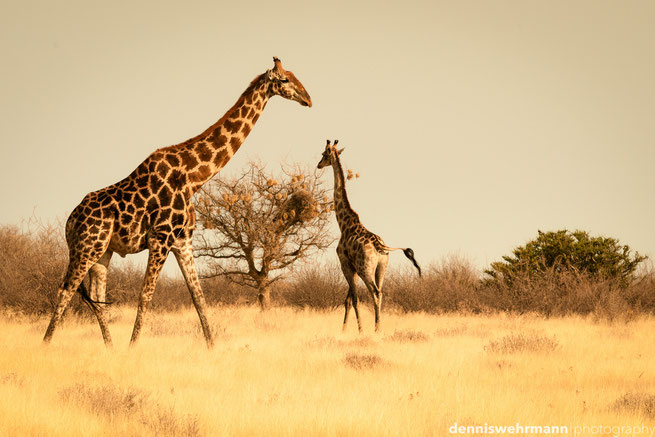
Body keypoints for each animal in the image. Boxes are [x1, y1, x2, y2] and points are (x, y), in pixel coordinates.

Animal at [42, 58, 312, 346]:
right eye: (284, 80)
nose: (308, 99)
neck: (193, 177)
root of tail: (69, 222)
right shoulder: (161, 237)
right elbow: (146, 295)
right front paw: (133, 347)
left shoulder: (183, 240)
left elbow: (199, 297)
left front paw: (212, 347)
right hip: (86, 248)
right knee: (65, 290)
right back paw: (47, 344)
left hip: (103, 251)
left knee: (96, 297)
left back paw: (110, 348)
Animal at [316, 140, 420, 330]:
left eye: (324, 154)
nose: (318, 165)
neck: (344, 224)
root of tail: (381, 246)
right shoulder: (353, 267)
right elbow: (348, 300)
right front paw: (343, 329)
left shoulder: (345, 263)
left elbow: (355, 299)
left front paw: (359, 329)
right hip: (381, 267)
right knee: (381, 292)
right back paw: (378, 327)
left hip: (366, 268)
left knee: (374, 292)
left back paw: (376, 328)